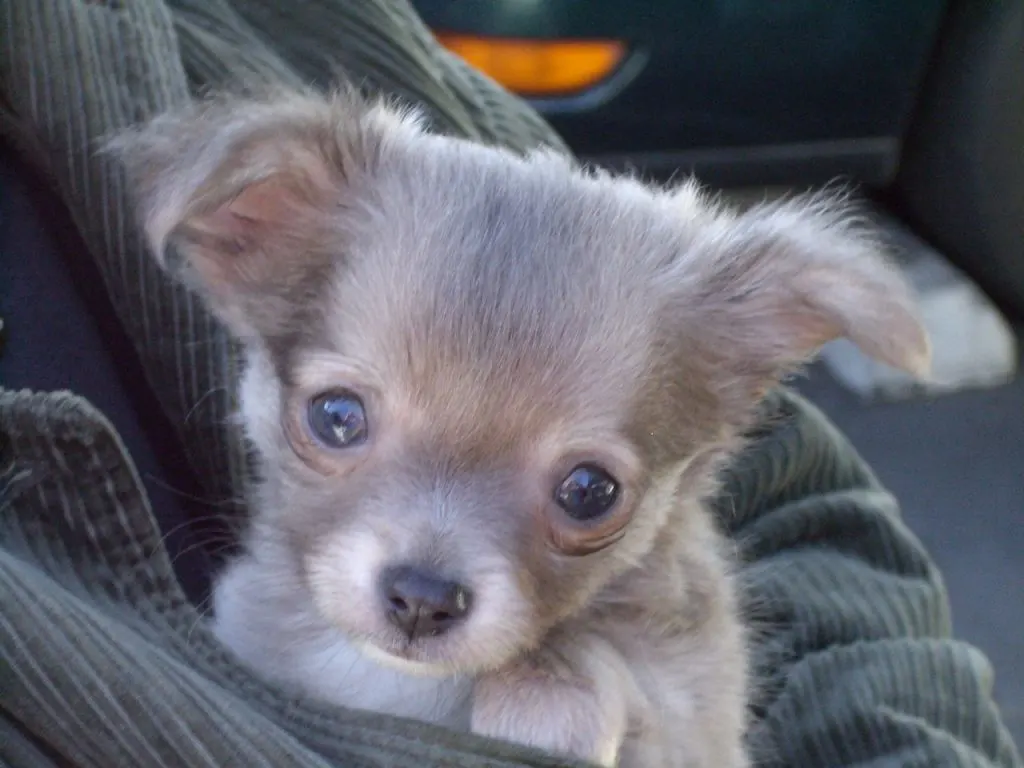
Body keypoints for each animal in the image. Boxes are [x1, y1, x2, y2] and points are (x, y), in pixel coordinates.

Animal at [110, 87, 929, 765]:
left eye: (590, 491)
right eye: (336, 417)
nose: (422, 597)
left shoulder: (692, 714)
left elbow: (578, 658)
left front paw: (543, 702)